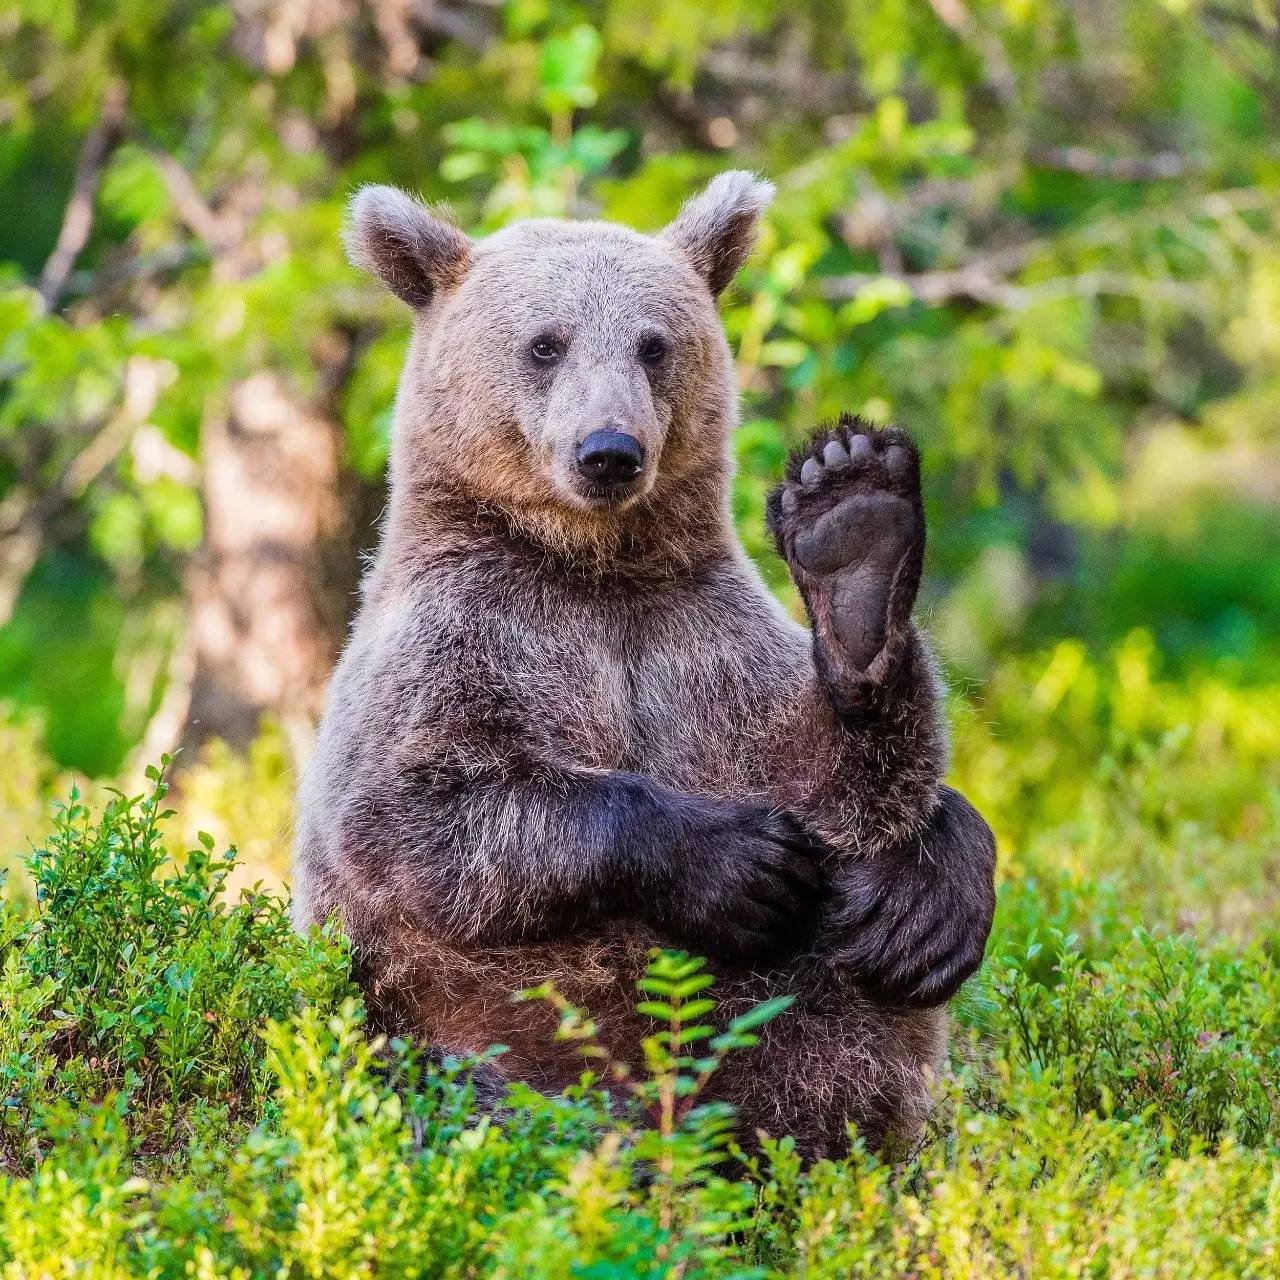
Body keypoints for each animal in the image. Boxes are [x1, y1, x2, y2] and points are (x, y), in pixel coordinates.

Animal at [294, 170, 993, 1162]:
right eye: (545, 344)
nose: (609, 452)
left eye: (653, 344)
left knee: (843, 1021)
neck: (595, 570)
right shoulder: (456, 641)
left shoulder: (700, 649)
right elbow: (417, 814)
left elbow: (835, 781)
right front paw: (736, 862)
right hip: (470, 1041)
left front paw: (853, 533)